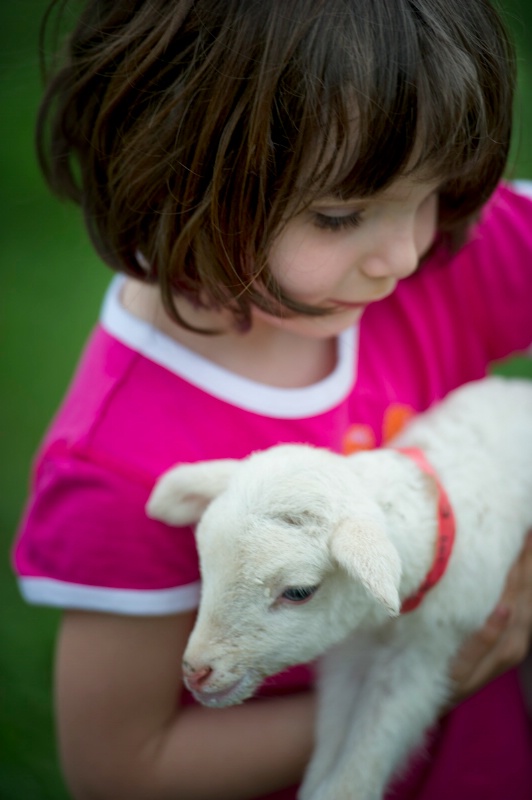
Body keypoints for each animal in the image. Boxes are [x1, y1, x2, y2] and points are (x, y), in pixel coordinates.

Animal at [145, 376, 532, 800]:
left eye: (299, 592)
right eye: (206, 567)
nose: (196, 672)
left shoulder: (425, 655)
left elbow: (354, 777)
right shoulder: (348, 655)